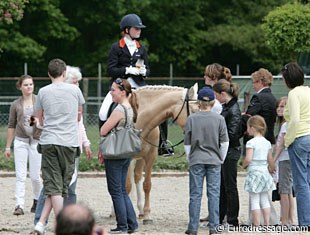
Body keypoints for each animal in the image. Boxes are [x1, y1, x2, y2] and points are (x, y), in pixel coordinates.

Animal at [126, 83, 199, 224]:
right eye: (193, 111)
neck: (139, 121)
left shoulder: (150, 156)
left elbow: (147, 185)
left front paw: (147, 215)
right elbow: (126, 186)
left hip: (140, 158)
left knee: (137, 176)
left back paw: (140, 211)